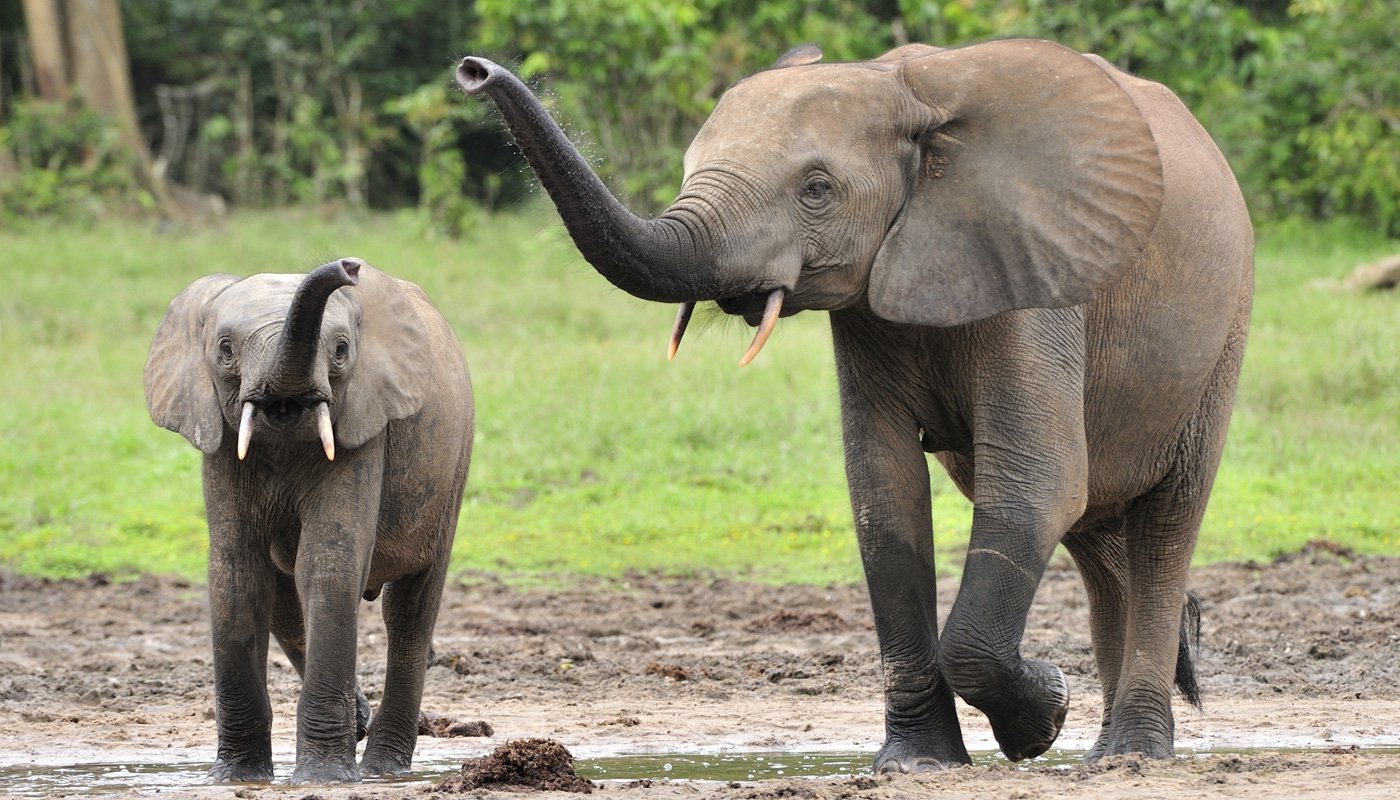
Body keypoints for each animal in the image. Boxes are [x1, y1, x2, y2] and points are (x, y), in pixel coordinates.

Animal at [145, 257, 476, 784]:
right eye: (225, 350)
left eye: (340, 351)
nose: (349, 267)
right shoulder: (219, 439)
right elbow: (237, 573)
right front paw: (236, 778)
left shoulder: (363, 424)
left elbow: (328, 564)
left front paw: (323, 779)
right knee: (283, 597)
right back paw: (359, 726)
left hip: (452, 469)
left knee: (409, 611)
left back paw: (382, 768)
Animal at [462, 40, 1260, 773]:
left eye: (817, 189)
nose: (473, 71)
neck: (908, 97)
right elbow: (885, 497)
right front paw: (919, 764)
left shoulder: (1037, 268)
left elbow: (1037, 485)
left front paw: (1042, 716)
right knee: (1099, 537)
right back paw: (1103, 750)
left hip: (1224, 330)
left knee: (1164, 522)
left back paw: (1133, 754)